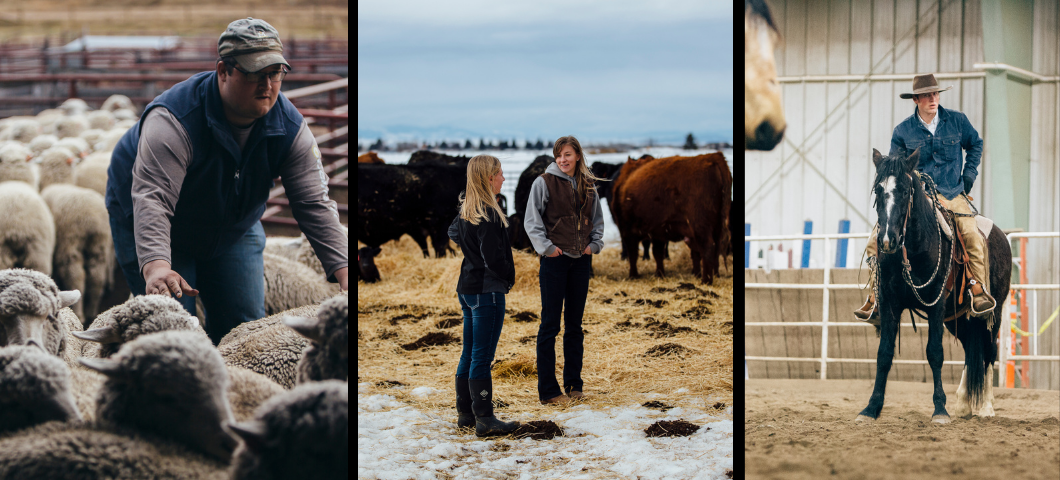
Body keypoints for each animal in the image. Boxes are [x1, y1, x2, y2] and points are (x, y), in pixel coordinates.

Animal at [40, 183, 113, 322]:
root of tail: (91, 219)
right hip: (99, 243)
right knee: (96, 276)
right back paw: (91, 310)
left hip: (70, 241)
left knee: (76, 275)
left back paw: (79, 312)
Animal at [614, 151, 729, 281]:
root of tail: (714, 156)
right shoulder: (658, 232)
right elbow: (658, 253)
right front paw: (659, 274)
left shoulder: (627, 231)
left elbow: (633, 254)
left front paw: (633, 275)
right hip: (717, 228)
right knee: (716, 252)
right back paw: (715, 275)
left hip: (701, 227)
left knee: (708, 249)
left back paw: (706, 281)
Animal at [856, 149, 1013, 423]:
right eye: (878, 190)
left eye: (905, 191)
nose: (887, 240)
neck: (914, 249)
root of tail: (1002, 236)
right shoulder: (889, 302)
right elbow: (884, 354)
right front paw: (871, 409)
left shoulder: (937, 304)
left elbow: (935, 353)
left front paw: (940, 409)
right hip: (956, 317)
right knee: (971, 349)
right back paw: (963, 404)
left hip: (993, 312)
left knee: (990, 350)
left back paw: (986, 406)